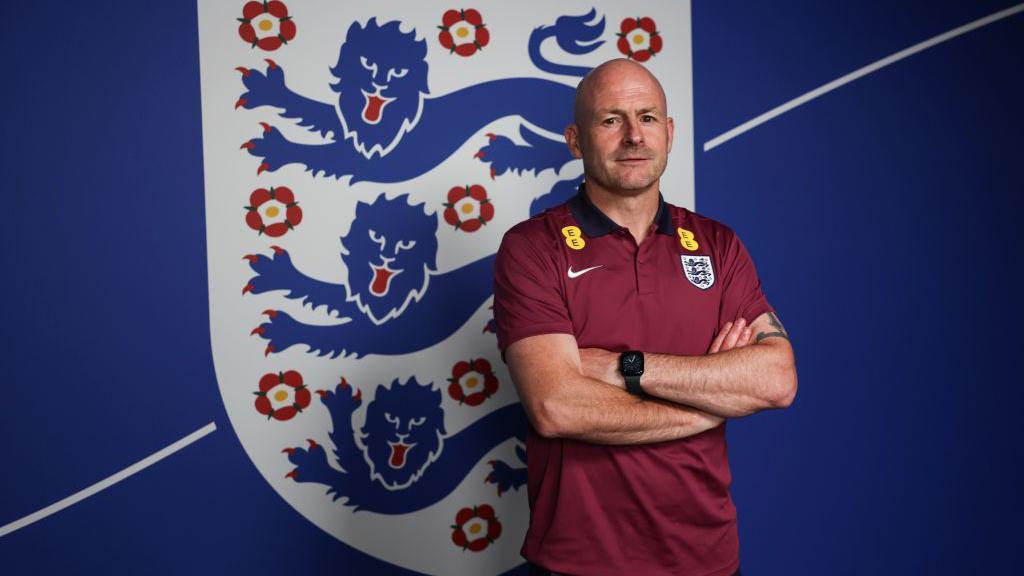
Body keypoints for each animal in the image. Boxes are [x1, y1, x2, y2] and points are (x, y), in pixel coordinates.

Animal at [234, 10, 598, 211]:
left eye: (397, 72)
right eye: (368, 63)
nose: (380, 84)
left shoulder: (374, 160)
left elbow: (319, 153)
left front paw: (277, 147)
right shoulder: (354, 131)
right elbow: (316, 114)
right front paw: (269, 89)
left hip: (536, 119)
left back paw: (509, 155)